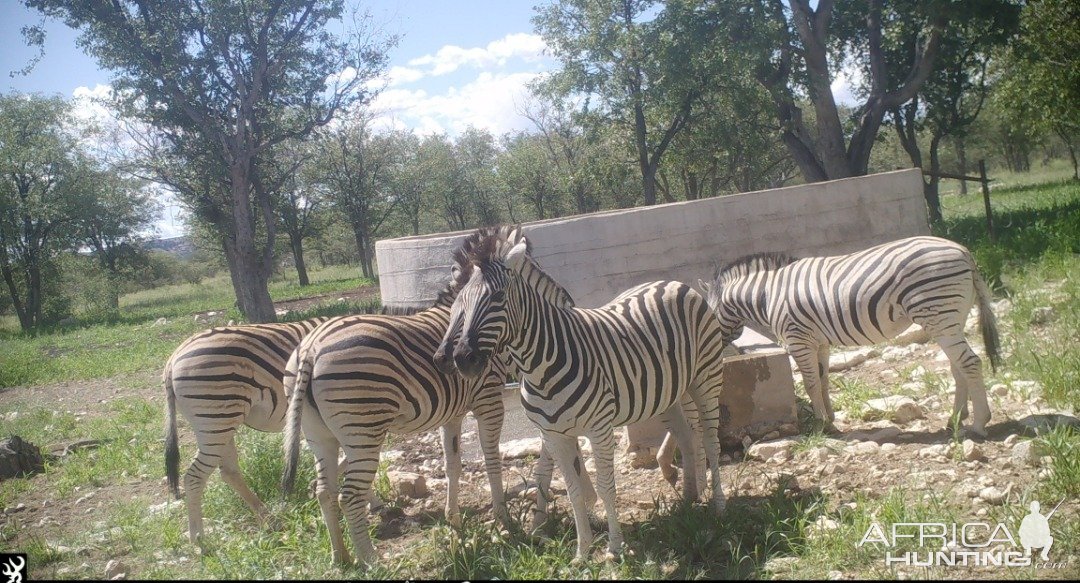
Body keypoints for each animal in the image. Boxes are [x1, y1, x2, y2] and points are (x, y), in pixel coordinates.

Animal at [163, 317, 332, 544]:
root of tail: (173, 359)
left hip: (218, 423)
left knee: (229, 472)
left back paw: (269, 520)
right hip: (216, 419)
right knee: (194, 477)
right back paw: (199, 539)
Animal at [280, 275, 583, 565]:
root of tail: (311, 346)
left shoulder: (453, 414)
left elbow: (453, 466)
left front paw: (455, 522)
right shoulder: (488, 400)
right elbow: (491, 461)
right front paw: (503, 519)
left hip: (319, 435)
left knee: (324, 491)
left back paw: (341, 558)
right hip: (363, 428)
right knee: (350, 496)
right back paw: (372, 562)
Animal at [429, 226, 725, 561]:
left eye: (498, 298)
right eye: (458, 305)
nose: (459, 359)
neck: (540, 366)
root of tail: (672, 282)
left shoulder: (598, 428)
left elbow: (604, 485)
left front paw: (613, 547)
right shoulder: (554, 434)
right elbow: (570, 489)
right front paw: (581, 551)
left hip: (705, 379)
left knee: (711, 441)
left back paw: (717, 505)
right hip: (667, 393)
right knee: (687, 435)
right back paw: (688, 498)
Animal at [699, 235, 1002, 436]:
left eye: (708, 317)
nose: (718, 353)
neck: (767, 295)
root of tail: (963, 251)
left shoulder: (798, 339)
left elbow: (810, 383)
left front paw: (821, 425)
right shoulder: (819, 341)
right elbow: (822, 381)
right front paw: (830, 418)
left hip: (938, 314)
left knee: (970, 363)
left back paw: (979, 423)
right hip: (950, 318)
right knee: (957, 367)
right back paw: (955, 419)